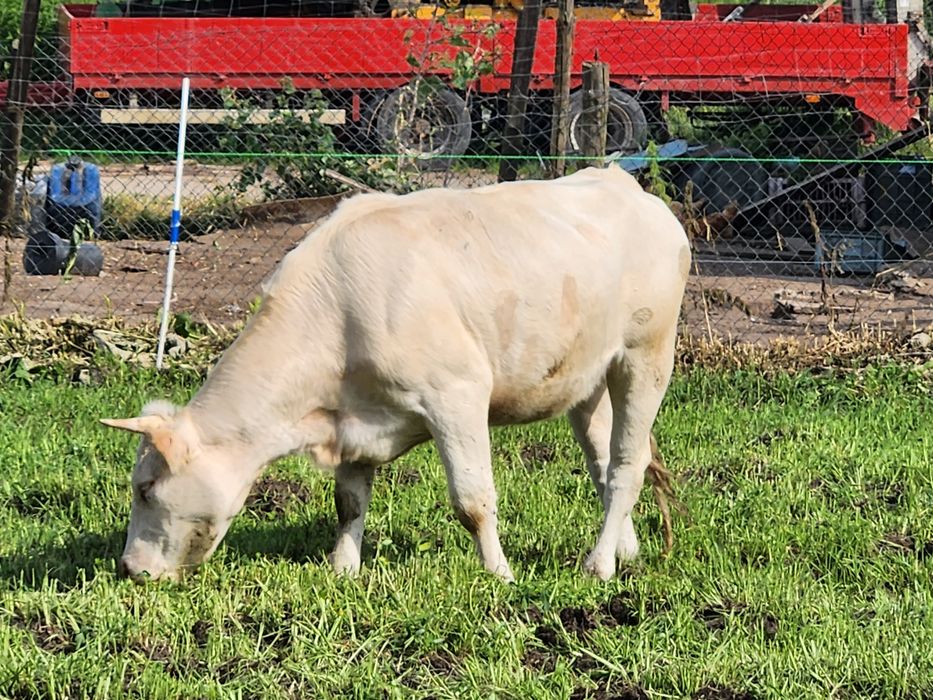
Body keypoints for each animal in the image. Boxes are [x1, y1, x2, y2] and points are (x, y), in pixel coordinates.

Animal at [102, 167, 688, 584]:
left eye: (146, 488)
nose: (128, 569)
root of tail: (625, 183)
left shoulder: (456, 394)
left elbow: (473, 500)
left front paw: (499, 574)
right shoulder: (350, 418)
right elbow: (348, 502)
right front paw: (343, 569)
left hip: (647, 355)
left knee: (628, 464)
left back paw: (599, 565)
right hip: (588, 378)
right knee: (603, 462)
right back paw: (625, 551)